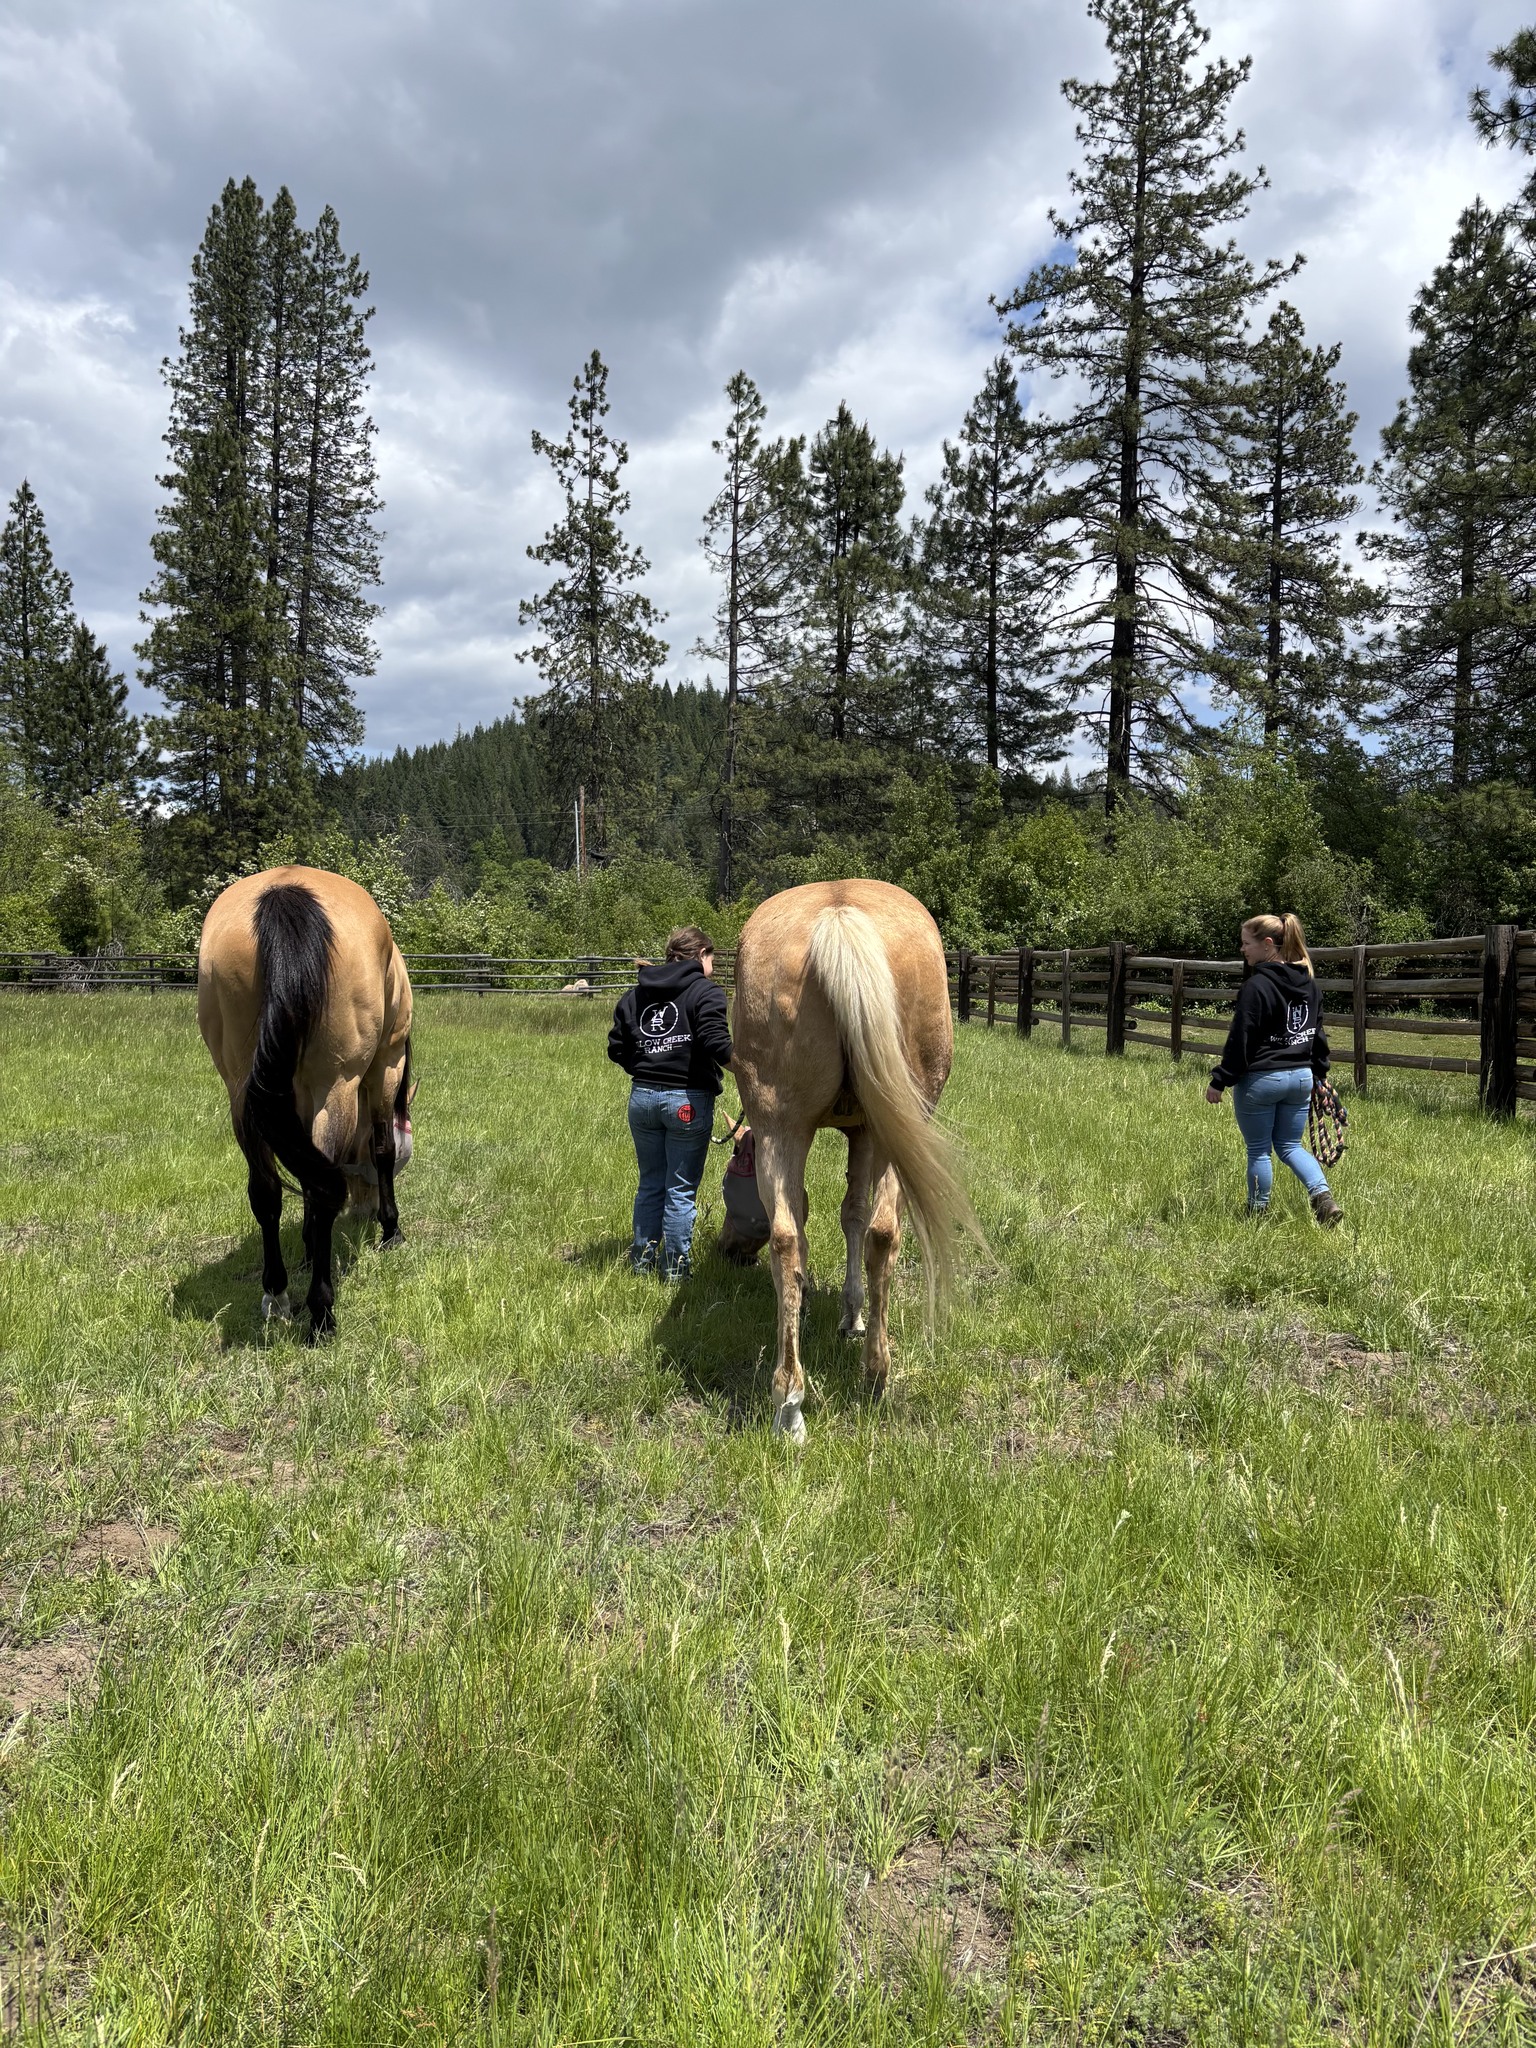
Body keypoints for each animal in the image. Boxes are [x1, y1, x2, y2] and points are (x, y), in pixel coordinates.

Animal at [197, 866, 415, 1338]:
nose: (365, 1208)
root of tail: (284, 894)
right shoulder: (386, 1064)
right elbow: (383, 1149)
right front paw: (391, 1229)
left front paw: (309, 1250)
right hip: (337, 1086)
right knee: (321, 1190)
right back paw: (322, 1310)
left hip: (243, 1093)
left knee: (267, 1192)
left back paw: (276, 1293)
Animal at [728, 879, 975, 1442]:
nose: (731, 1250)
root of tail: (837, 915)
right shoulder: (867, 1132)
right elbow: (857, 1218)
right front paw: (852, 1316)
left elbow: (834, 1217)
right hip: (893, 1127)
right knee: (884, 1233)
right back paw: (876, 1375)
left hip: (781, 1128)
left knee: (788, 1238)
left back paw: (789, 1402)